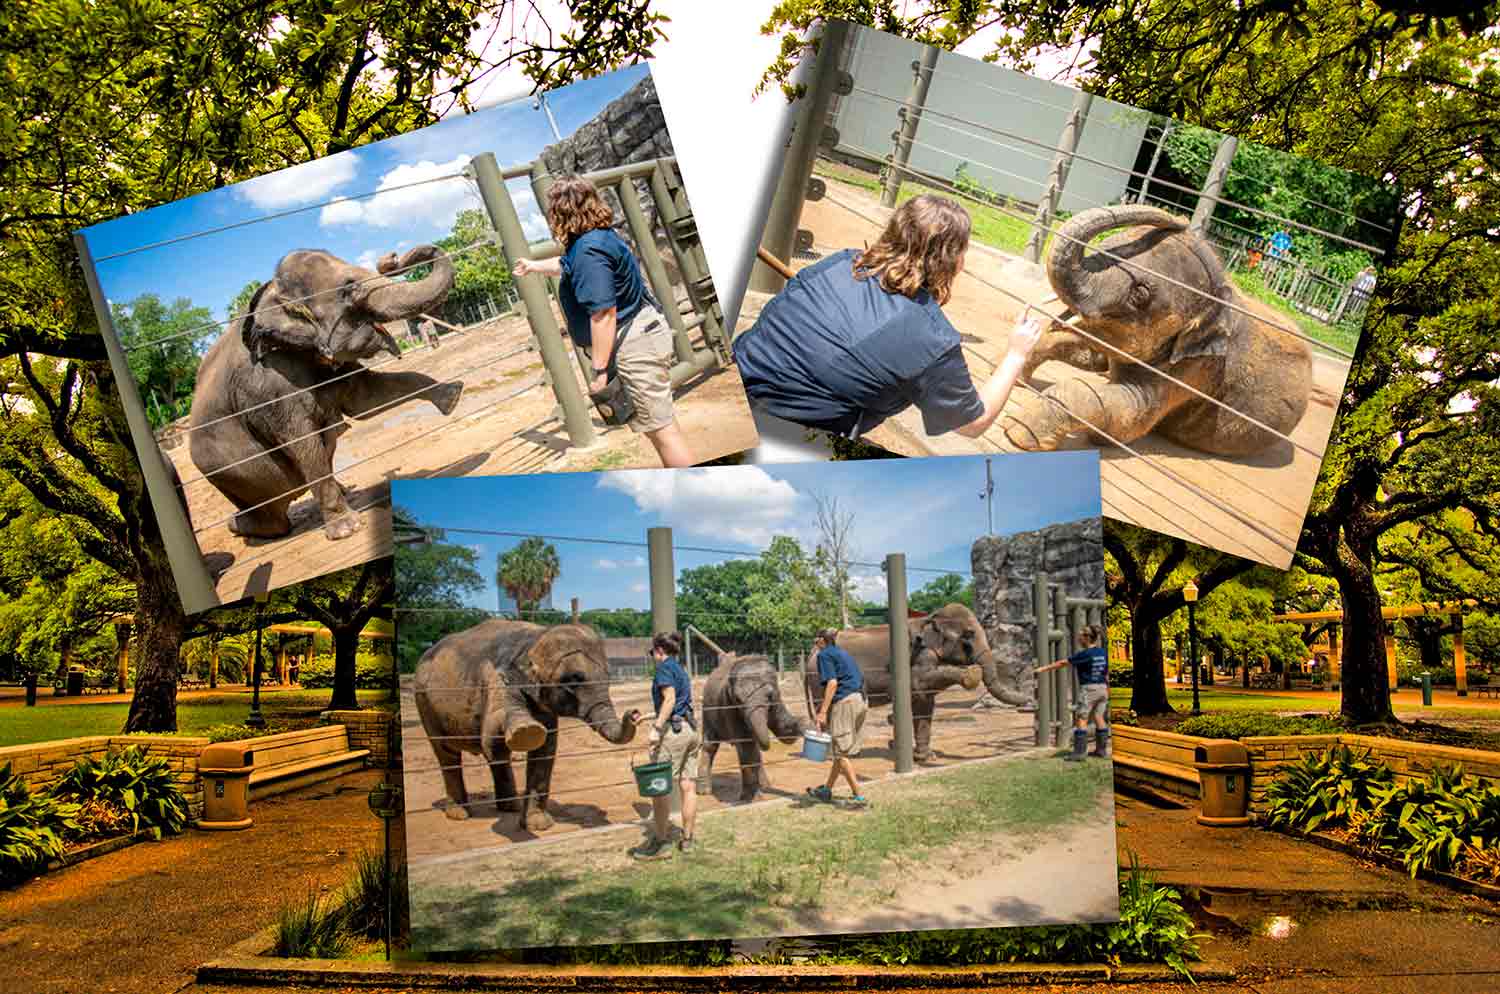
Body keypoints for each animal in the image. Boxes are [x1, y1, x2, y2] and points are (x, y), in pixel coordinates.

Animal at [190, 247, 465, 545]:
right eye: (348, 289)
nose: (391, 258)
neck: (275, 294)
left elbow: (366, 399)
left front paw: (453, 396)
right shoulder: (268, 385)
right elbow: (302, 440)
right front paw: (347, 530)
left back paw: (345, 490)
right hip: (238, 477)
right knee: (276, 518)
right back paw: (238, 525)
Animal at [414, 623, 642, 833]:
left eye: (609, 676)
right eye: (572, 681)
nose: (634, 714)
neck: (534, 640)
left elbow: (545, 749)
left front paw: (538, 824)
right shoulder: (497, 680)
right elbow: (492, 736)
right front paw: (526, 730)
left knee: (493, 758)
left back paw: (510, 807)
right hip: (424, 701)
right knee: (447, 754)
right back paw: (459, 813)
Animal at [699, 656, 810, 803]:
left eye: (769, 695)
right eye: (738, 699)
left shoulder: (777, 697)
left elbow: (783, 730)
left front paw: (807, 724)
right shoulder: (728, 705)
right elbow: (745, 745)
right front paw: (753, 799)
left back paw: (765, 785)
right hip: (707, 711)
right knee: (710, 745)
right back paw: (704, 791)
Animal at [804, 605, 1026, 761]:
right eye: (968, 637)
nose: (1028, 700)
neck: (931, 617)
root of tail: (814, 649)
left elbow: (924, 703)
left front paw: (926, 757)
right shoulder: (920, 654)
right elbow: (918, 686)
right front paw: (971, 674)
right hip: (819, 677)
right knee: (827, 708)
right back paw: (832, 756)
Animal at [1008, 206, 1314, 461]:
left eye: (1140, 294)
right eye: (1103, 247)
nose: (1181, 219)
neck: (1221, 296)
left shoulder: (1196, 369)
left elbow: (1129, 418)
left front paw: (1018, 432)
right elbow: (1086, 348)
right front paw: (1020, 377)